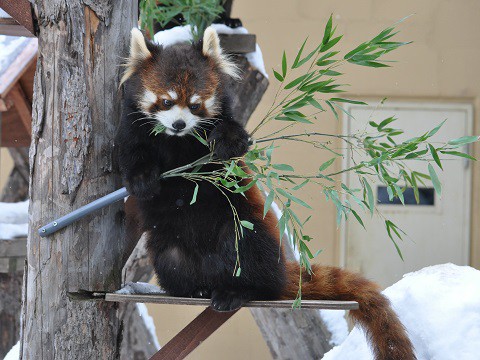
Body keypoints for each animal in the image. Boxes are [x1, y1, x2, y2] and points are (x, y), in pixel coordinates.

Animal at [116, 26, 416, 358]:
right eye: (167, 102)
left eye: (195, 104)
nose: (180, 124)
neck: (176, 141)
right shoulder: (133, 130)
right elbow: (131, 158)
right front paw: (144, 181)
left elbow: (232, 144)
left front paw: (223, 143)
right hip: (169, 249)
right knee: (173, 262)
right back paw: (198, 289)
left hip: (247, 230)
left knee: (248, 253)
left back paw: (237, 291)